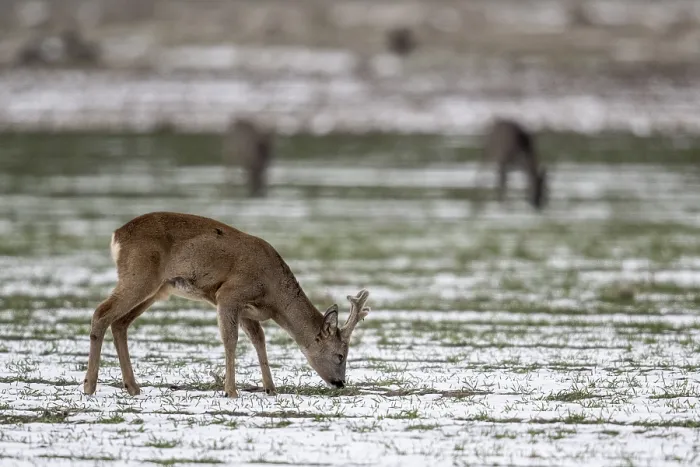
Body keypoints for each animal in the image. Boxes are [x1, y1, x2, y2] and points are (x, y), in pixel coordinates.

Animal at [83, 211, 370, 398]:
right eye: (340, 355)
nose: (340, 383)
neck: (272, 294)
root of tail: (117, 235)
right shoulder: (229, 294)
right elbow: (230, 340)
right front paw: (231, 391)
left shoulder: (247, 310)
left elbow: (259, 340)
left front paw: (270, 388)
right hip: (140, 275)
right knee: (101, 313)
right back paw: (89, 386)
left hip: (157, 289)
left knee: (120, 323)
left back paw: (132, 387)